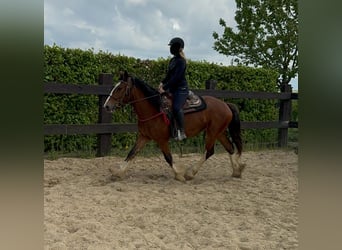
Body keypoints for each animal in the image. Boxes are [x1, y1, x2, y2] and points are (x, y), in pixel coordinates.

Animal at [103, 71, 244, 181]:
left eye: (119, 88)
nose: (106, 106)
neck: (155, 109)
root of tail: (226, 105)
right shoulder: (144, 137)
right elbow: (131, 153)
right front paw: (118, 173)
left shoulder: (162, 140)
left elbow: (168, 157)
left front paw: (179, 175)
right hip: (218, 132)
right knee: (230, 148)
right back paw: (236, 171)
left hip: (212, 132)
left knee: (210, 151)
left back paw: (190, 173)